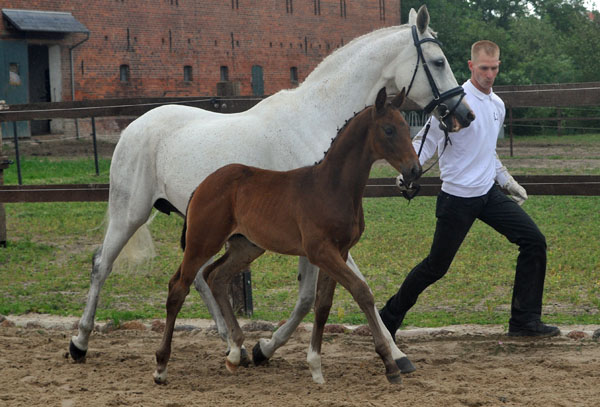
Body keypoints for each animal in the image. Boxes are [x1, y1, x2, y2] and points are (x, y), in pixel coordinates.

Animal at [155, 87, 422, 386]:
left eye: (406, 127)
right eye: (388, 129)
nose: (414, 170)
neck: (331, 187)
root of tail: (203, 185)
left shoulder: (339, 251)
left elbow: (323, 304)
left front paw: (316, 366)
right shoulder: (320, 251)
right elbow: (361, 291)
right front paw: (389, 364)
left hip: (246, 246)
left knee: (216, 276)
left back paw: (235, 352)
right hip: (202, 241)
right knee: (178, 287)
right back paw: (162, 367)